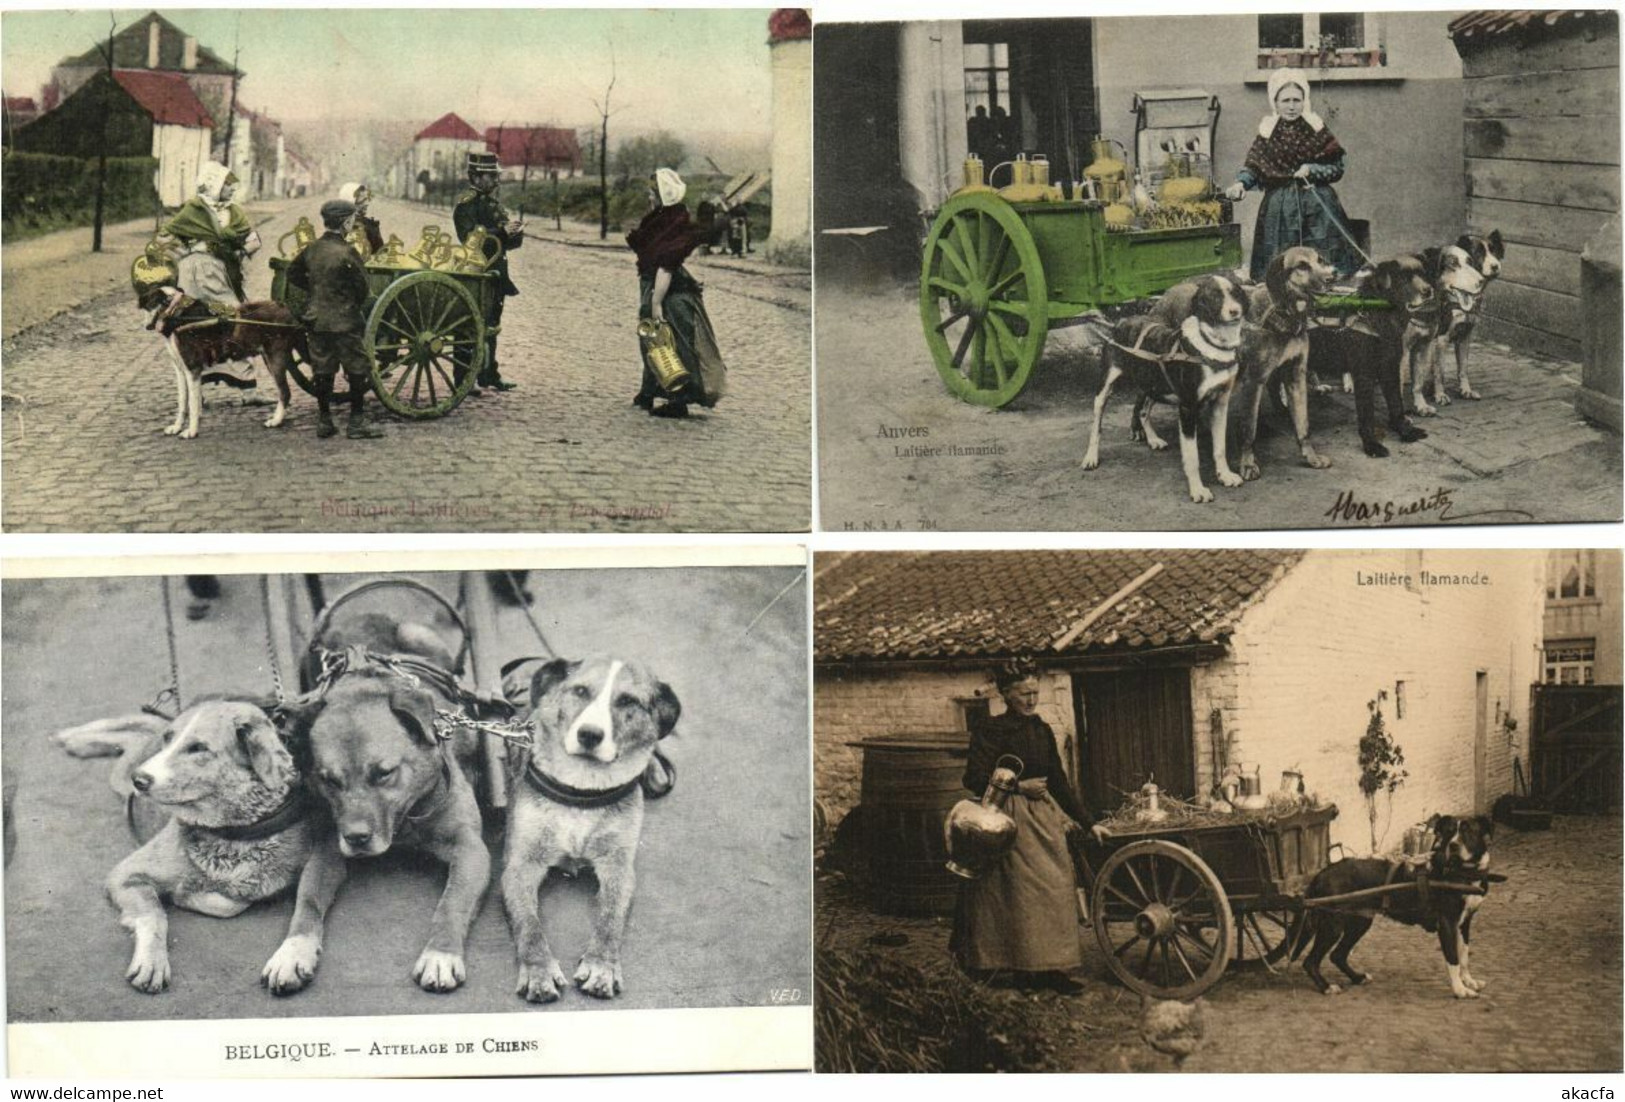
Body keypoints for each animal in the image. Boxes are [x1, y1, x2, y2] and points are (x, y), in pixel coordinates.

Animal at [1085, 274, 1248, 503]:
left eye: (1235, 293)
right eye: (1215, 297)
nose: (1235, 311)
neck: (1212, 346)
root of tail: (1121, 321)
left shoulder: (1220, 403)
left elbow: (1220, 448)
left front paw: (1225, 475)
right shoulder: (1188, 408)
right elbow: (1192, 456)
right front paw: (1198, 490)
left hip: (1153, 384)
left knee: (1143, 410)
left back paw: (1153, 439)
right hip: (1106, 387)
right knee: (1096, 425)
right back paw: (1090, 457)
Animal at [1228, 248, 1332, 481]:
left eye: (1320, 261)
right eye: (1302, 265)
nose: (1332, 277)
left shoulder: (1296, 376)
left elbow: (1303, 425)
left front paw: (1311, 457)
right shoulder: (1253, 381)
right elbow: (1249, 429)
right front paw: (1248, 463)